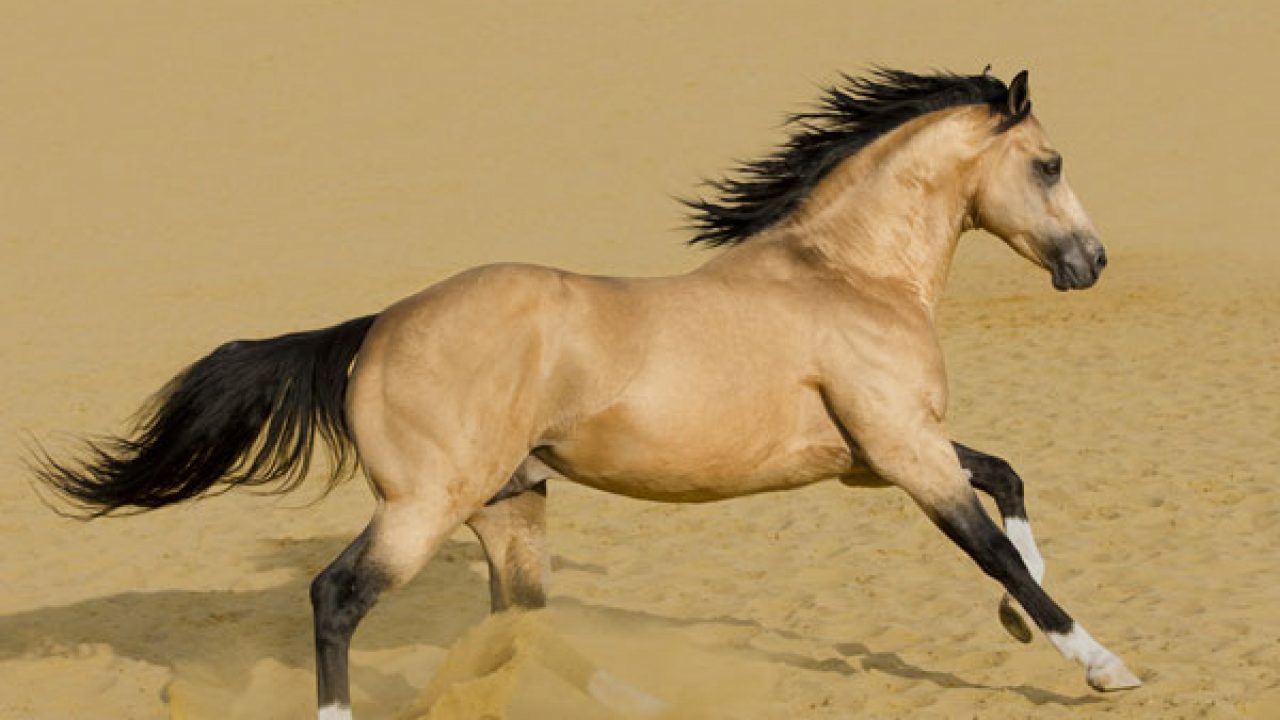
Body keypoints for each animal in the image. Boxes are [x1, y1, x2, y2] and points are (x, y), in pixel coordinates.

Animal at [35, 68, 1139, 719]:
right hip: (424, 507)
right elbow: (996, 543)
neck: (845, 273)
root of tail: (376, 327)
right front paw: (1097, 661)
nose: (1089, 263)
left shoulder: (873, 458)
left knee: (521, 623)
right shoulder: (904, 452)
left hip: (510, 505)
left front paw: (1016, 625)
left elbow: (1010, 483)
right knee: (338, 597)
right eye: (1048, 164)